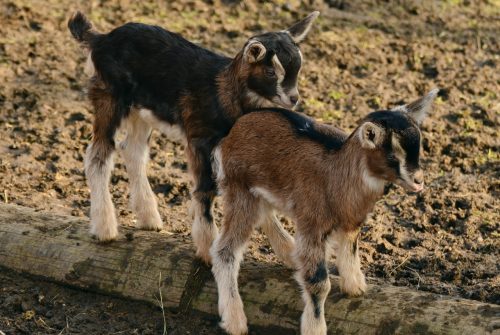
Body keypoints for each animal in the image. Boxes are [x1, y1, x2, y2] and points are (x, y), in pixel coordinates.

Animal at [66, 11, 318, 262]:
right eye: (270, 71)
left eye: (298, 69)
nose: (293, 98)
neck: (222, 93)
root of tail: (101, 39)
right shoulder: (200, 140)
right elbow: (205, 189)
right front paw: (207, 249)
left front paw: (288, 252)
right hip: (109, 96)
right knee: (98, 155)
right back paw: (105, 229)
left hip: (141, 110)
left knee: (133, 150)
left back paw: (149, 218)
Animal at [210, 90, 438, 335]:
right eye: (393, 155)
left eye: (419, 147)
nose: (419, 181)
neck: (336, 174)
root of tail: (234, 130)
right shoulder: (313, 226)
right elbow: (318, 282)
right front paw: (315, 328)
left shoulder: (351, 222)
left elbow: (350, 250)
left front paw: (355, 287)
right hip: (239, 189)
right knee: (225, 250)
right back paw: (235, 320)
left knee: (265, 214)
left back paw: (290, 254)